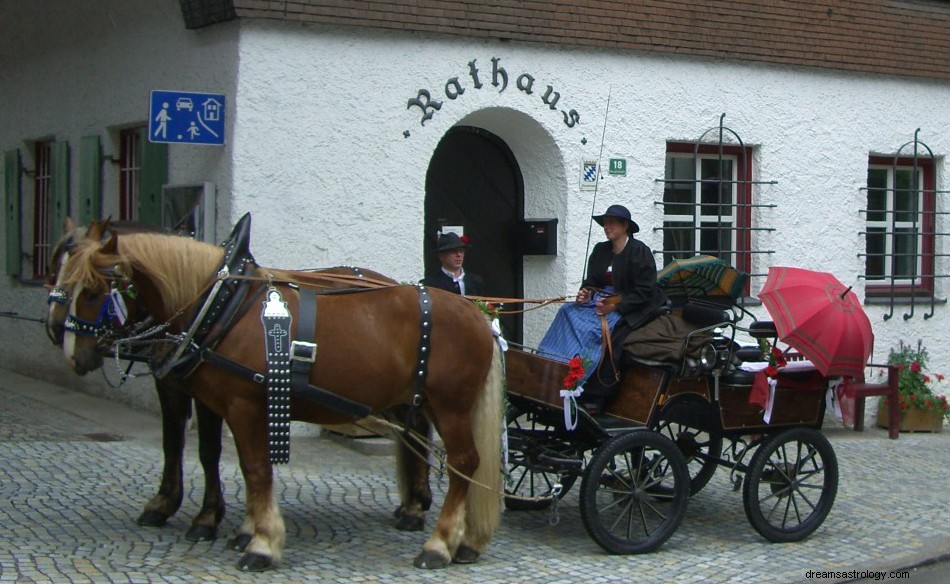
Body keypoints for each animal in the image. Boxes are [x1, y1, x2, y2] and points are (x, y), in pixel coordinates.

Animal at [54, 225, 506, 572]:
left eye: (94, 290)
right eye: (62, 279)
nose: (70, 351)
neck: (223, 306)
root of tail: (477, 314)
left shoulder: (243, 404)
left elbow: (253, 469)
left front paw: (261, 543)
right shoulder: (225, 403)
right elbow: (226, 460)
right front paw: (242, 529)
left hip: (450, 406)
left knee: (464, 463)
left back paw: (440, 544)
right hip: (422, 402)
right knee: (439, 453)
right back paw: (458, 537)